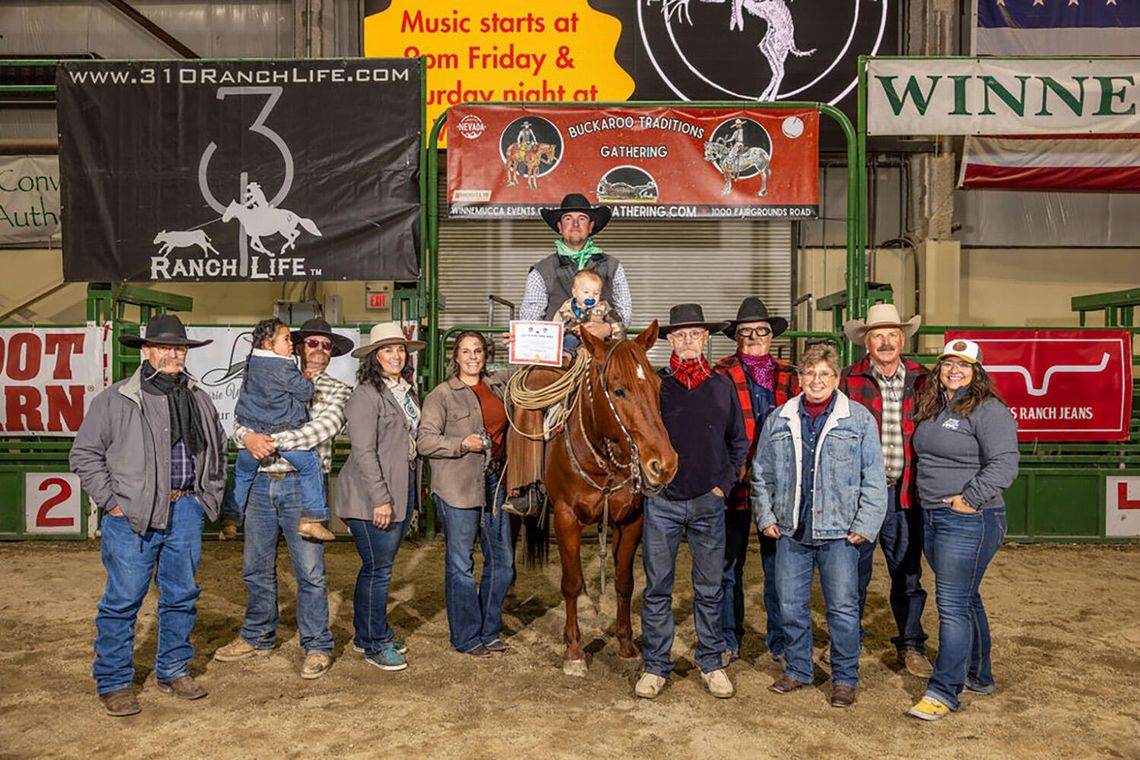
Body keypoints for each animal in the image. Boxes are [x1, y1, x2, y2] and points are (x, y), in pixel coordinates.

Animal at [544, 321, 674, 679]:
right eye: (618, 391)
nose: (664, 464)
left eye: (658, 385)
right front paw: (574, 651)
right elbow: (571, 581)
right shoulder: (566, 518)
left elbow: (625, 582)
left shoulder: (631, 520)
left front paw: (627, 646)